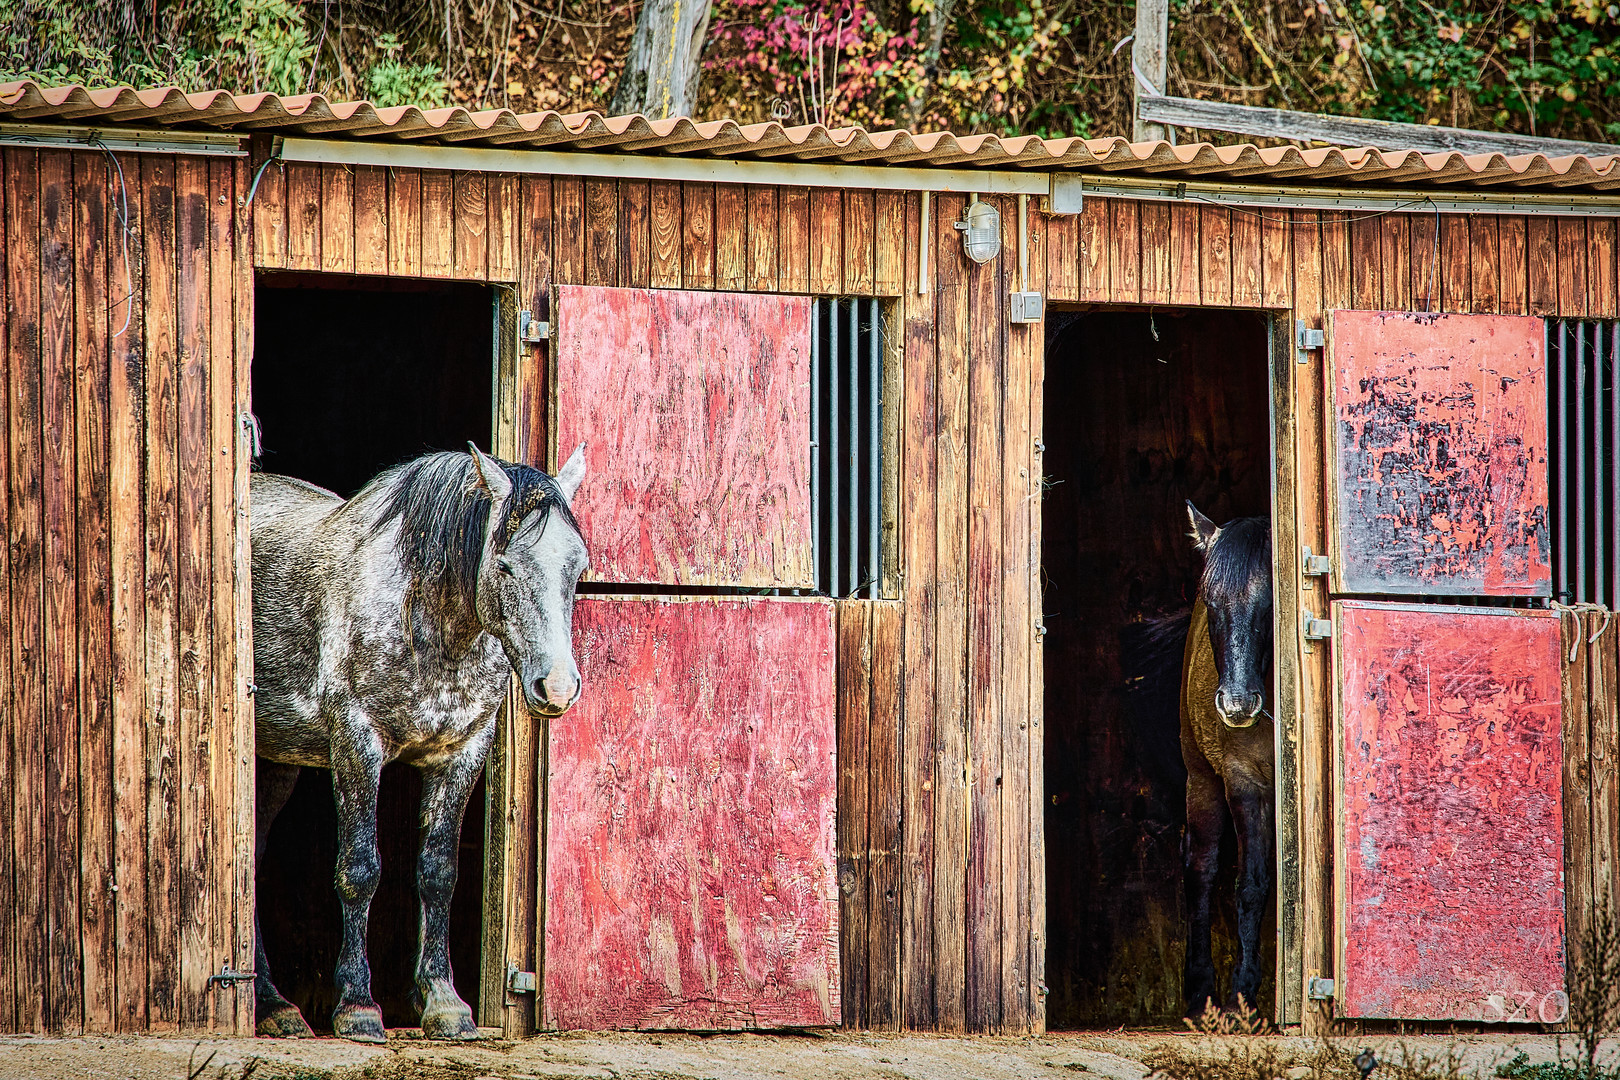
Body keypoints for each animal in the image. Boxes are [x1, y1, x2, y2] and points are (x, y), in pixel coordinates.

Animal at [249, 443, 586, 1042]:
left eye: (578, 566)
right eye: (505, 565)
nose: (558, 687)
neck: (430, 624)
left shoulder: (462, 753)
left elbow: (438, 873)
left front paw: (445, 1004)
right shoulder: (357, 744)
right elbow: (359, 871)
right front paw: (358, 1007)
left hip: (277, 761)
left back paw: (275, 1007)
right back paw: (273, 1005)